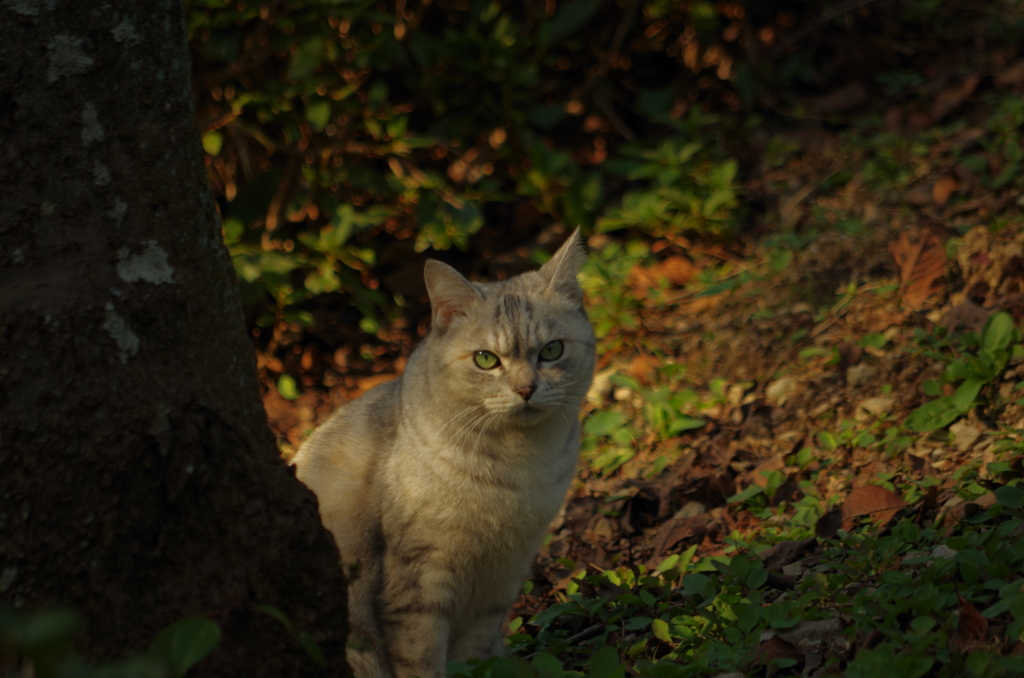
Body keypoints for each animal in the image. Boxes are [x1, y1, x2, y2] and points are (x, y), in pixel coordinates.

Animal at [292, 229, 598, 678]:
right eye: (486, 359)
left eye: (552, 351)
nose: (526, 389)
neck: (517, 465)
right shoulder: (420, 576)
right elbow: (420, 658)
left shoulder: (503, 575)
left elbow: (473, 655)